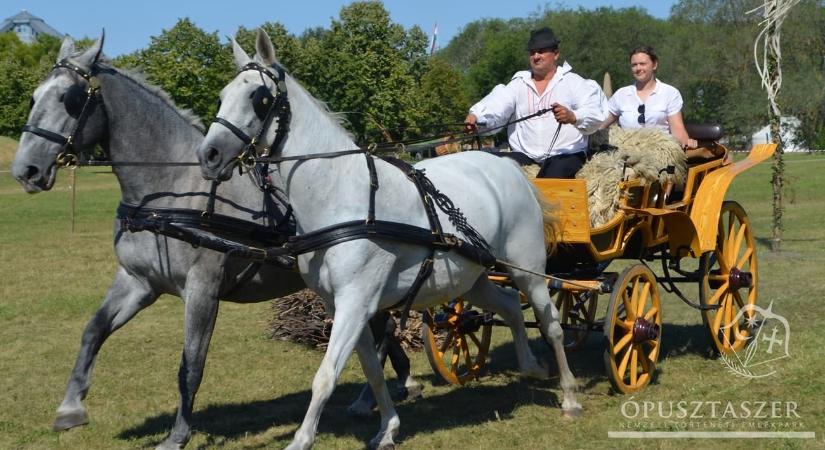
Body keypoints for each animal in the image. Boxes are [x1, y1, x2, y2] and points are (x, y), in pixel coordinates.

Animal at [12, 35, 422, 450]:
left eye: (68, 98)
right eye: (33, 97)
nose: (25, 170)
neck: (173, 191)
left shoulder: (202, 288)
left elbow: (191, 363)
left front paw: (178, 434)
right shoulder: (138, 282)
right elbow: (93, 331)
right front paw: (70, 408)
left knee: (381, 329)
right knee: (381, 329)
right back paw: (392, 388)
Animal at [196, 29, 580, 448]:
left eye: (259, 97)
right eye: (222, 95)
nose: (208, 155)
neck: (343, 196)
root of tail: (507, 165)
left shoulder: (355, 301)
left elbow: (326, 376)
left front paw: (301, 439)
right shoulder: (342, 305)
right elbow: (371, 369)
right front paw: (388, 427)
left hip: (527, 270)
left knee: (550, 322)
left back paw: (569, 395)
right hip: (472, 278)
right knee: (509, 306)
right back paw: (531, 365)